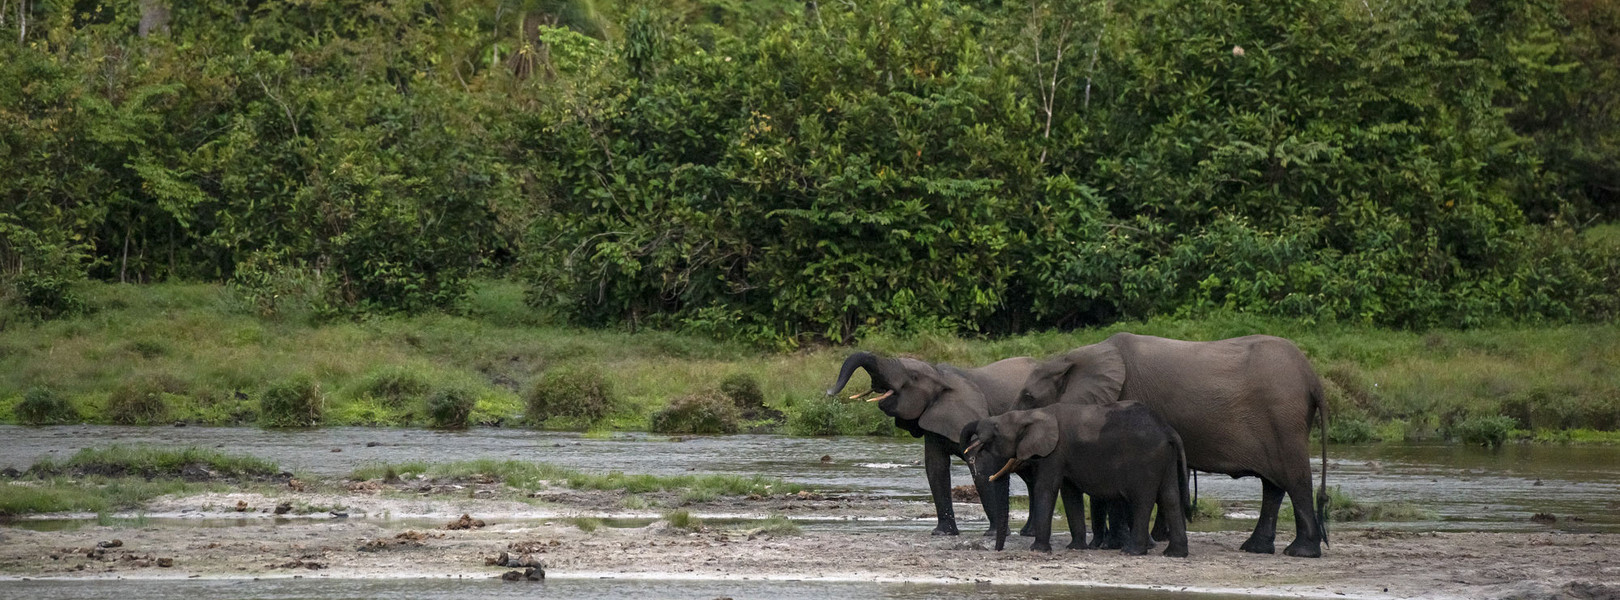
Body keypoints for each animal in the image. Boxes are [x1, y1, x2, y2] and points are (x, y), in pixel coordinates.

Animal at [826, 352, 1037, 537]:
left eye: (913, 376)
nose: (829, 392)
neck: (941, 375)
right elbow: (936, 468)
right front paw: (942, 533)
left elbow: (982, 465)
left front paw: (993, 534)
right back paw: (1028, 532)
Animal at [962, 401, 1190, 556]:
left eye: (996, 430)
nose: (998, 550)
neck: (1033, 413)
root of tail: (1168, 430)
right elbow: (1070, 493)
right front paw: (1075, 548)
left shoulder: (1055, 452)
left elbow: (1046, 488)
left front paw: (1037, 550)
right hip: (1165, 457)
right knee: (1170, 496)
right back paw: (1174, 554)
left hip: (1146, 459)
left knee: (1143, 499)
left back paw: (1131, 552)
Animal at [1015, 332, 1330, 558]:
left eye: (1028, 397)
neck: (1077, 355)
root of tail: (1313, 379)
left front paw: (1119, 545)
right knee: (1273, 484)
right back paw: (1256, 548)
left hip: (1283, 418)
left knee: (1294, 478)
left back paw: (1300, 552)